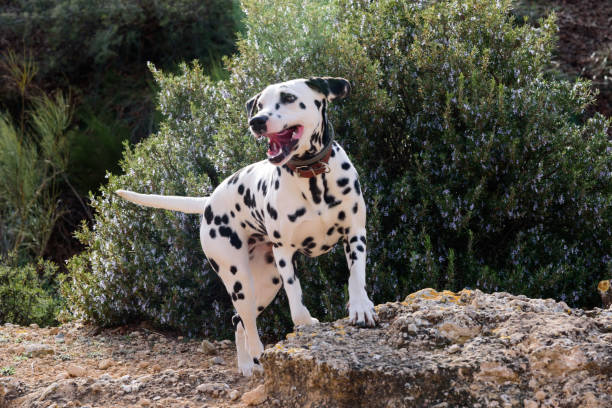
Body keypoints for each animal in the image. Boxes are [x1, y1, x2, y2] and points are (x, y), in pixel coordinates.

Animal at [112, 77, 376, 376]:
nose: (257, 121)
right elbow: (296, 302)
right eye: (260, 104)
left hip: (267, 282)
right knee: (246, 323)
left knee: (238, 320)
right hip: (240, 280)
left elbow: (356, 276)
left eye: (288, 98)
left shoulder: (355, 235)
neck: (312, 178)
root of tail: (209, 201)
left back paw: (248, 364)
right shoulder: (284, 253)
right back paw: (255, 358)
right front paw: (306, 323)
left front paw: (361, 307)